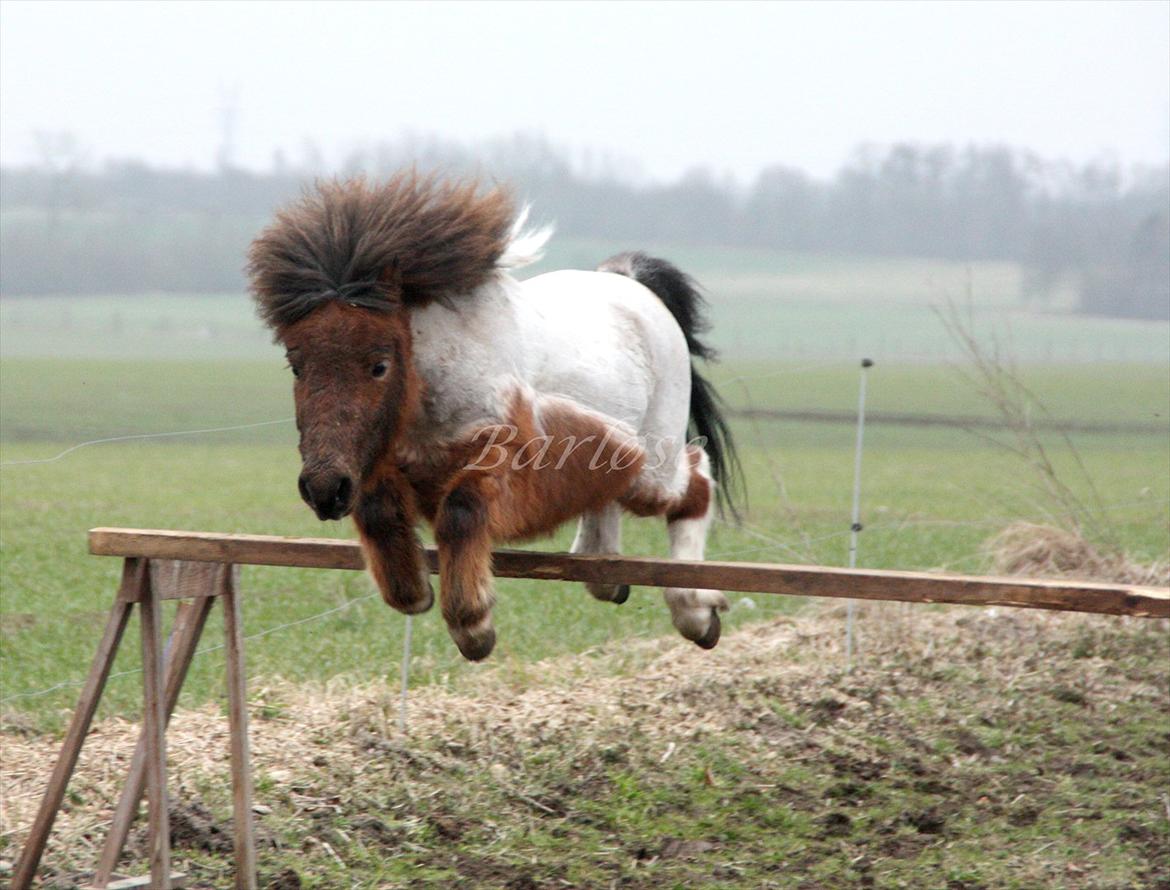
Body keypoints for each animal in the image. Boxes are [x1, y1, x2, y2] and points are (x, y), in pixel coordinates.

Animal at [248, 173, 739, 659]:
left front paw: (472, 624)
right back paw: (612, 579)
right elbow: (377, 511)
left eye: (379, 365)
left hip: (653, 469)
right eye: (296, 364)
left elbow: (461, 511)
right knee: (606, 521)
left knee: (696, 482)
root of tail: (632, 285)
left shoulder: (511, 460)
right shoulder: (386, 463)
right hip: (618, 455)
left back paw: (696, 612)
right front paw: (414, 591)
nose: (324, 490)